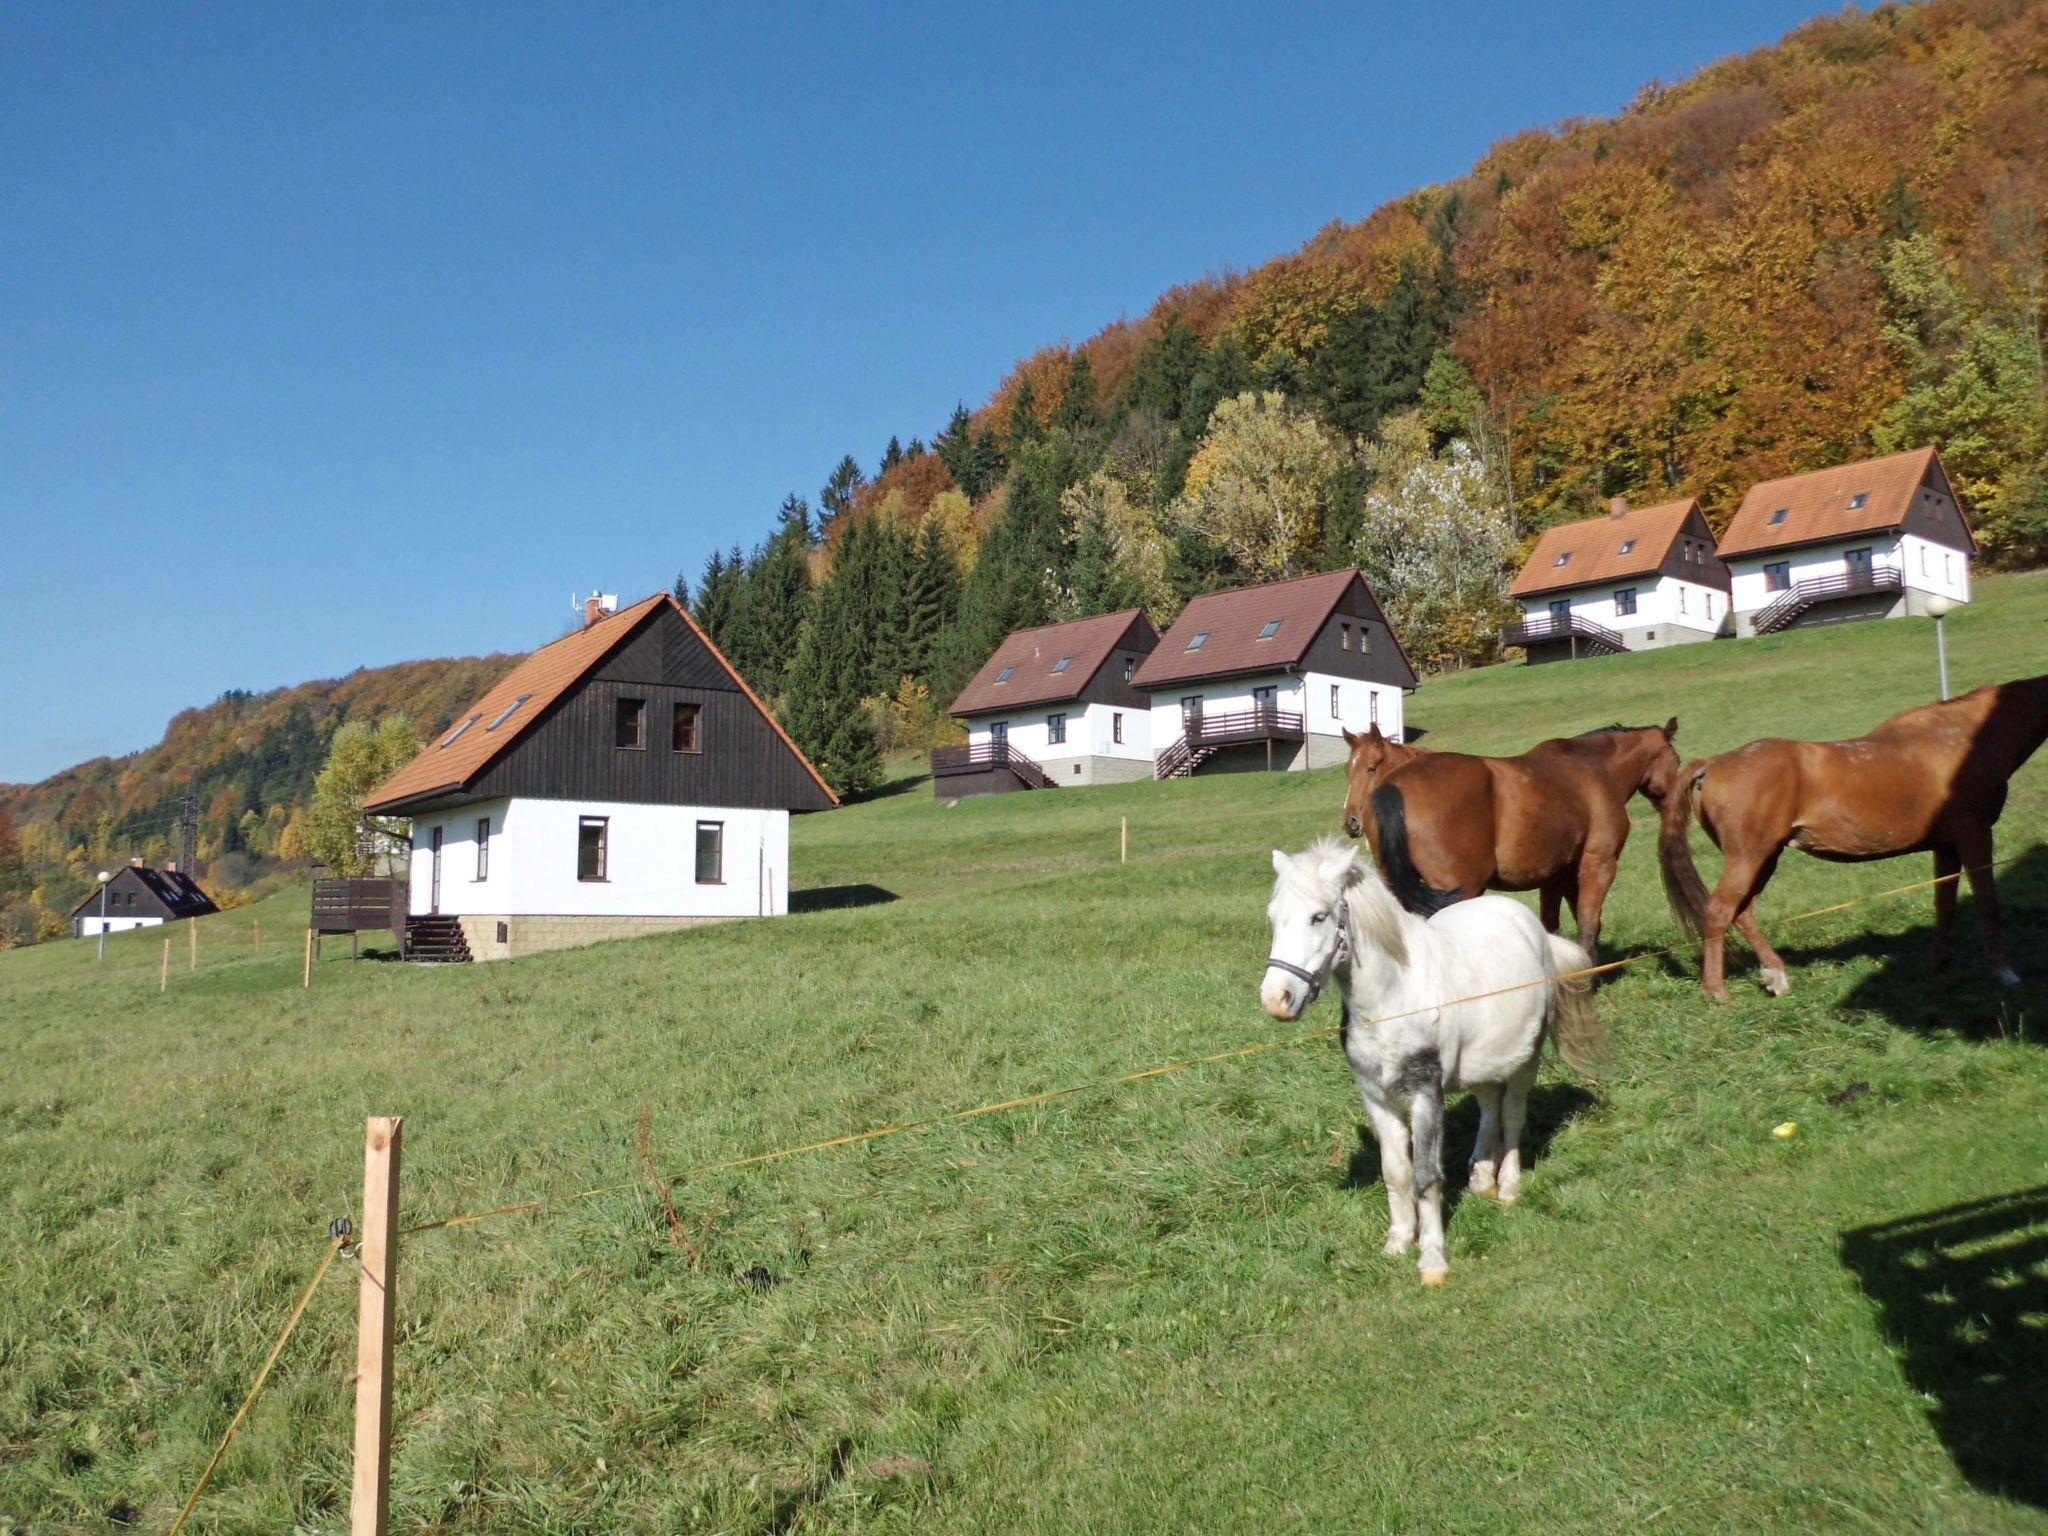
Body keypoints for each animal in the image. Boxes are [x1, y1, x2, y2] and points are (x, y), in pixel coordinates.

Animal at [1253, 843, 1605, 1286]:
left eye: (1319, 916)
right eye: (1272, 917)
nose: (1276, 999)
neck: (1394, 999)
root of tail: (1533, 928)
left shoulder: (1425, 1094)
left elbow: (1425, 1175)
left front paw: (1433, 1259)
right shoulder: (1377, 1098)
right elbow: (1396, 1173)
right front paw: (1398, 1242)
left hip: (1528, 1058)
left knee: (1512, 1115)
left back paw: (1508, 1186)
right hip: (1483, 1060)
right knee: (1489, 1107)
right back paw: (1481, 1178)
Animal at [1343, 716, 1679, 958]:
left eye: (1371, 766)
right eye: (1677, 760)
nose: (1350, 821)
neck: (1592, 770)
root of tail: (1394, 787)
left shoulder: (1556, 876)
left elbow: (1556, 927)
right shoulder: (1598, 866)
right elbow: (1588, 925)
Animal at [1654, 679, 2048, 1003]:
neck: (1963, 738)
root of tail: (1713, 764)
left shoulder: (1947, 845)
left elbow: (1945, 904)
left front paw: (1942, 966)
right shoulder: (1975, 836)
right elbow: (1988, 905)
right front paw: (2003, 972)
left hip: (1764, 858)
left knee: (1744, 912)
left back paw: (1775, 975)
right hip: (1749, 858)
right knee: (1719, 912)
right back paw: (1716, 992)